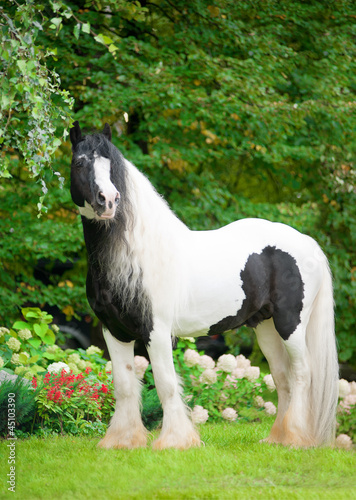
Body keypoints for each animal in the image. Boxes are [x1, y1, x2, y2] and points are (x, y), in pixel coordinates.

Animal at [70, 121, 340, 450]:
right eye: (79, 162)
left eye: (112, 166)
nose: (108, 200)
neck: (135, 255)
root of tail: (307, 243)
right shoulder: (114, 331)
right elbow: (124, 385)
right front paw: (122, 441)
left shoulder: (157, 332)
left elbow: (166, 384)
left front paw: (175, 441)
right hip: (265, 326)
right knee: (283, 378)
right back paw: (278, 438)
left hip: (291, 323)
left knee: (302, 374)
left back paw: (297, 439)